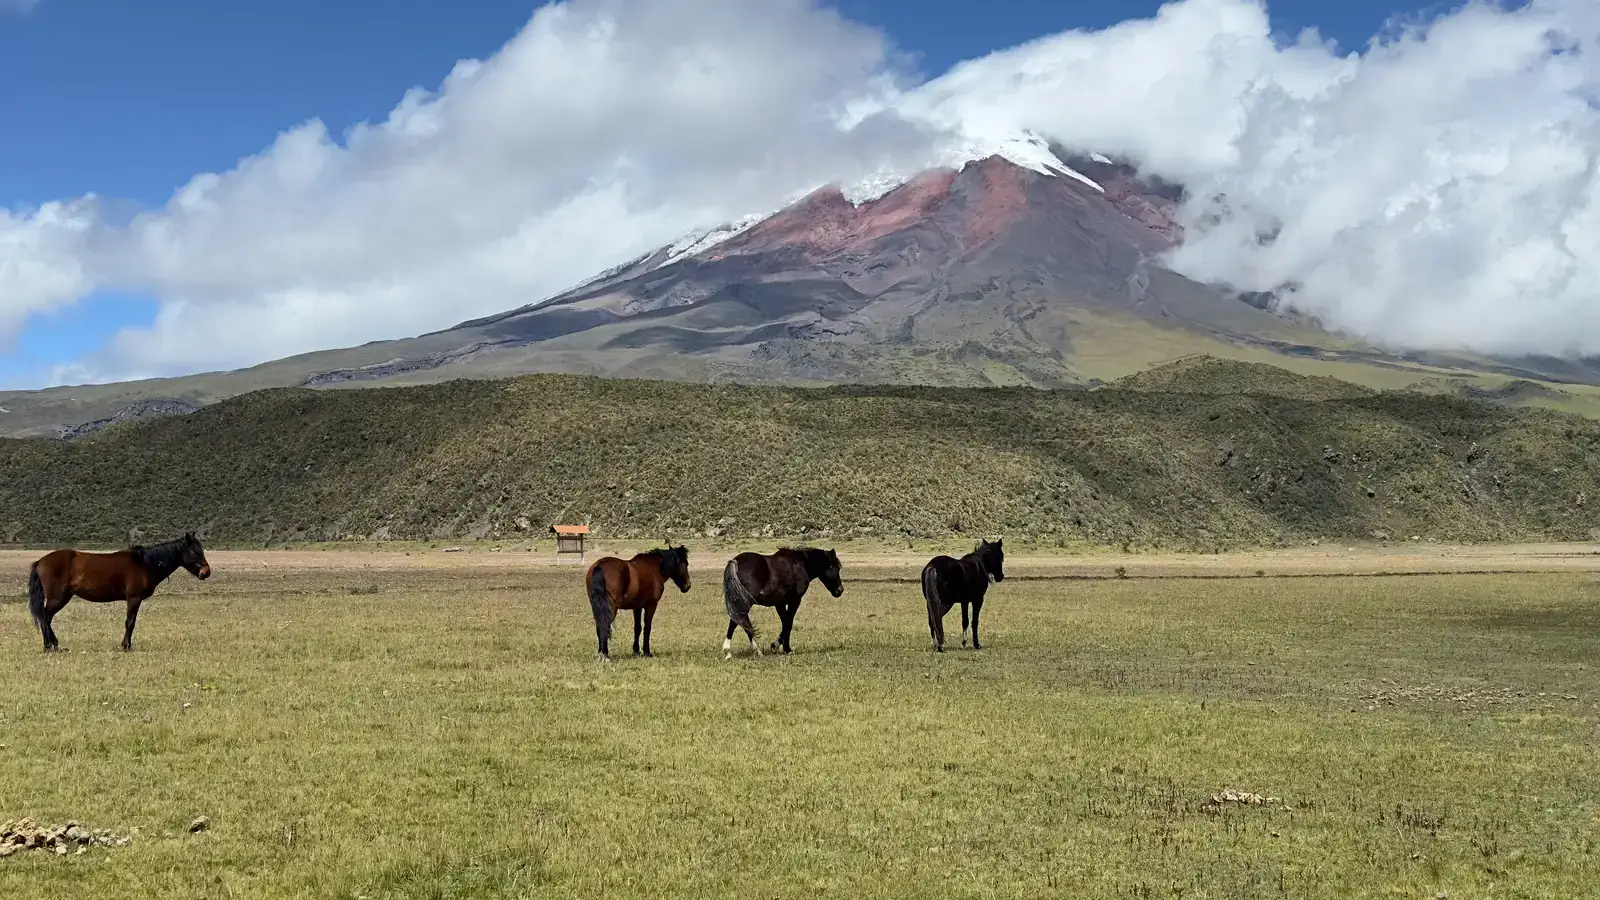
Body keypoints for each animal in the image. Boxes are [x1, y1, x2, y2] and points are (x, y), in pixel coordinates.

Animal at [28, 532, 212, 653]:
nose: (206, 572)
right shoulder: (134, 599)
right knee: (45, 617)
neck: (144, 563)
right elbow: (130, 622)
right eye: (194, 551)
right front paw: (127, 646)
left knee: (46, 618)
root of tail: (41, 561)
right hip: (58, 598)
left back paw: (52, 645)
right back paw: (51, 646)